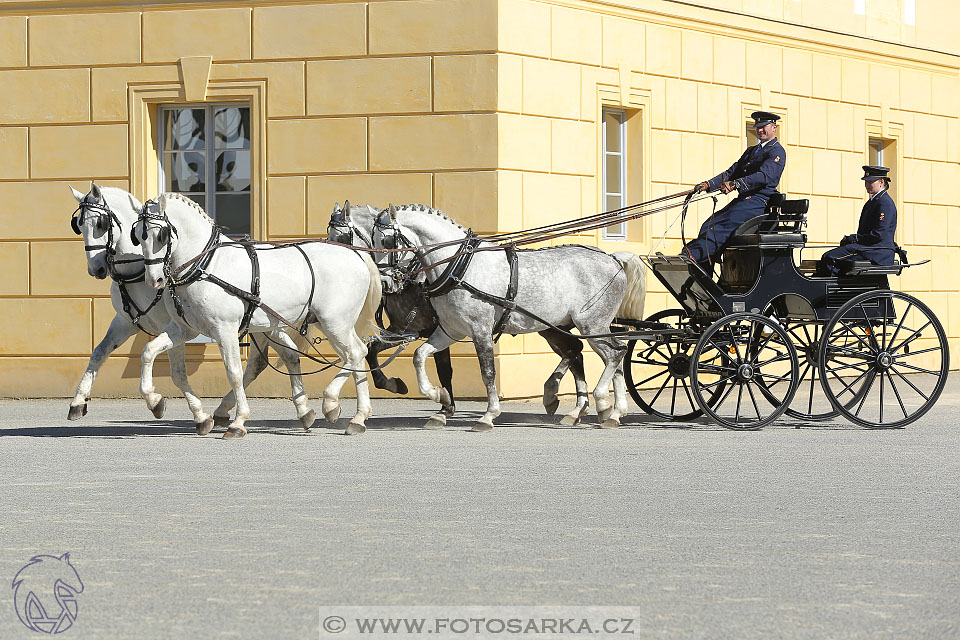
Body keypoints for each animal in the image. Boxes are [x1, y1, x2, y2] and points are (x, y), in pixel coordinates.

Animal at [68, 186, 316, 436]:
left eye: (100, 223)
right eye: (78, 224)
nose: (97, 268)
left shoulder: (174, 325)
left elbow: (177, 373)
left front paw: (175, 407)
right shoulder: (125, 322)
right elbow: (99, 353)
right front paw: (78, 401)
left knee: (274, 357)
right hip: (263, 324)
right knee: (279, 357)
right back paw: (295, 410)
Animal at [135, 192, 382, 438]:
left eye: (161, 235)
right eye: (137, 235)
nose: (154, 280)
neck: (206, 265)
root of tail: (356, 255)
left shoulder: (225, 330)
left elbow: (234, 373)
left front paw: (239, 421)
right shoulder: (184, 329)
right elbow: (152, 354)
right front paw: (157, 401)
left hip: (335, 323)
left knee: (354, 354)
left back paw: (336, 406)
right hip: (327, 323)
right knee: (356, 354)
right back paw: (354, 416)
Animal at [374, 206, 644, 430]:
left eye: (386, 240)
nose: (385, 283)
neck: (460, 267)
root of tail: (613, 258)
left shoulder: (480, 330)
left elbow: (488, 372)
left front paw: (488, 415)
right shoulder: (449, 331)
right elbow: (420, 356)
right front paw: (437, 394)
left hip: (591, 324)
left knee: (615, 353)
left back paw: (602, 400)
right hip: (580, 327)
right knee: (608, 356)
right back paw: (613, 412)